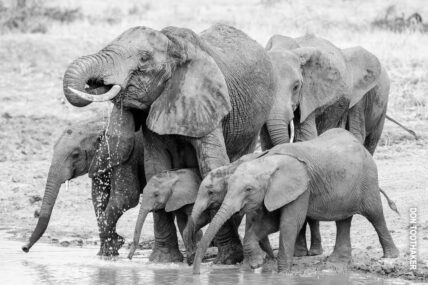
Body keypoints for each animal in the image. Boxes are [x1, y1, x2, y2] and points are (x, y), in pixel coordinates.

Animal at [21, 117, 145, 255]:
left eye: (75, 155)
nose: (24, 248)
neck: (100, 123)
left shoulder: (127, 157)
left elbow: (127, 197)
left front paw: (111, 249)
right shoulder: (100, 162)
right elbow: (98, 197)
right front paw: (107, 252)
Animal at [61, 23, 276, 262]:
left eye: (144, 58)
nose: (96, 83)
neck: (174, 46)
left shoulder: (207, 102)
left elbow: (211, 165)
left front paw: (228, 259)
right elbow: (156, 168)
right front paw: (164, 260)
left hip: (253, 124)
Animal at [192, 127, 400, 272]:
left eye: (248, 189)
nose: (195, 272)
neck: (266, 161)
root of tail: (359, 144)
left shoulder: (300, 188)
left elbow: (289, 223)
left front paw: (282, 272)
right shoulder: (273, 193)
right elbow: (269, 223)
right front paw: (256, 265)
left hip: (368, 179)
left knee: (375, 214)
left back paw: (391, 256)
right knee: (343, 220)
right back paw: (337, 262)